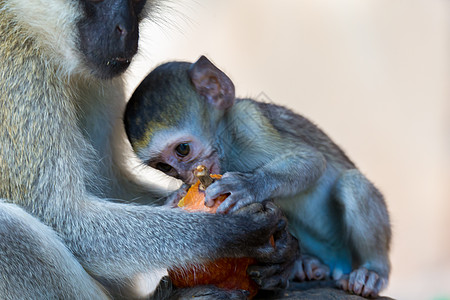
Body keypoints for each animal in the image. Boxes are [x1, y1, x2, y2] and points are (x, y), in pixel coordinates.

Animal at [0, 1, 298, 298]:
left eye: (135, 3)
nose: (127, 30)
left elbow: (107, 187)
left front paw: (288, 244)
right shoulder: (19, 76)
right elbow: (67, 220)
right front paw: (237, 231)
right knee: (8, 229)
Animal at [123, 56, 390, 298]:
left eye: (183, 149)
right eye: (164, 167)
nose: (187, 176)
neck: (227, 142)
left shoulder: (249, 121)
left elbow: (311, 160)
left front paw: (248, 185)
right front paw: (175, 197)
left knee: (353, 184)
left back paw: (373, 272)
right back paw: (307, 264)